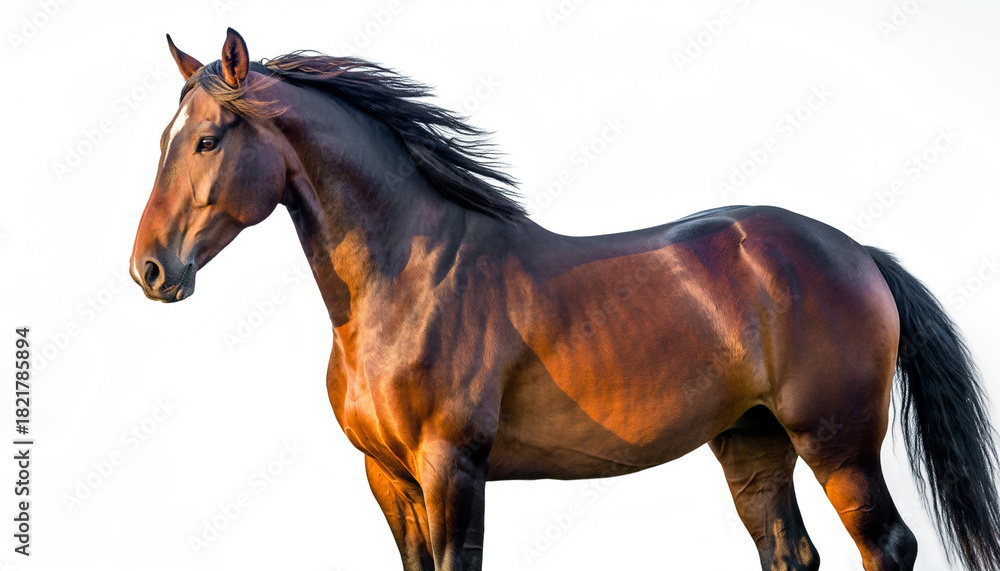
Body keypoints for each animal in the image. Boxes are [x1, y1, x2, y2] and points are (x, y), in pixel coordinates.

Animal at [130, 29, 1000, 571]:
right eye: (164, 138)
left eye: (208, 139)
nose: (150, 269)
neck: (406, 284)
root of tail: (858, 254)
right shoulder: (388, 478)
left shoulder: (452, 468)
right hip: (754, 445)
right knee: (790, 551)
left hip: (838, 443)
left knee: (886, 545)